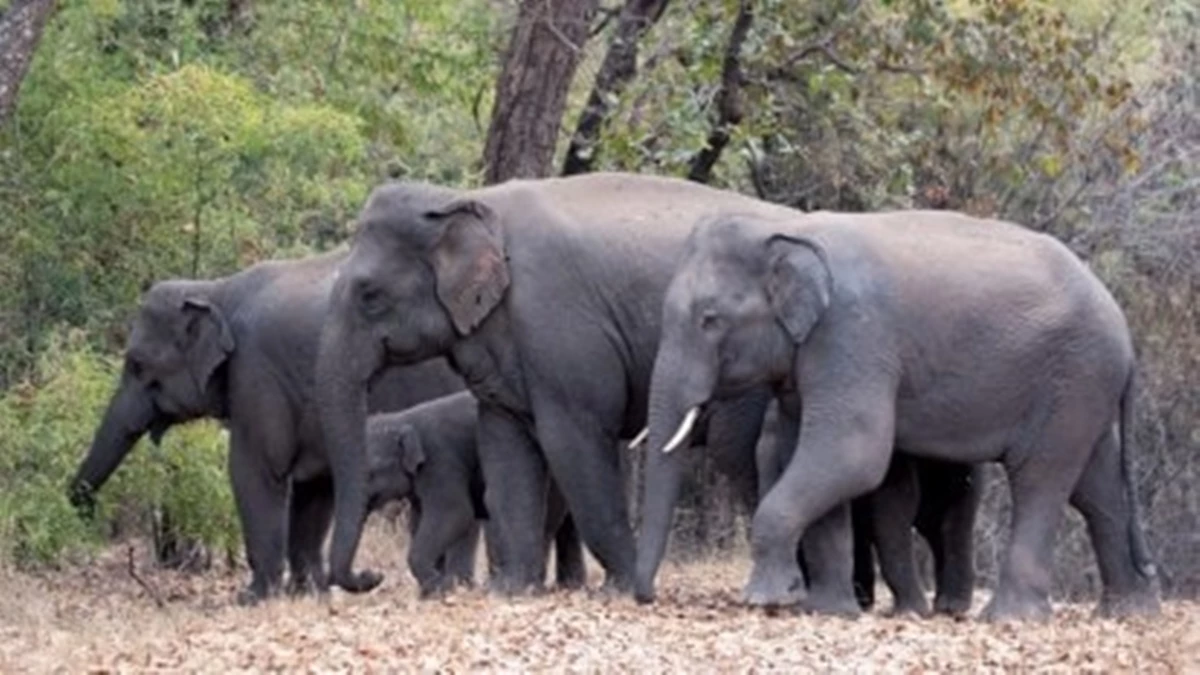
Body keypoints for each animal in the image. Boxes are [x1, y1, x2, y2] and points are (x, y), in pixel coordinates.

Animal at [64, 249, 472, 600]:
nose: (85, 510)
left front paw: (253, 597)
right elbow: (314, 486)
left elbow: (255, 470)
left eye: (136, 364)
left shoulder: (255, 372)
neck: (215, 289)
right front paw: (305, 593)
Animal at [367, 389, 588, 593]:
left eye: (371, 472)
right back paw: (568, 586)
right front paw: (440, 589)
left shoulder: (441, 462)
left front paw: (444, 587)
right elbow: (422, 519)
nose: (377, 576)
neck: (404, 419)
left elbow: (454, 512)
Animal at [643, 210, 1156, 619]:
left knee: (1041, 477)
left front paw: (768, 601)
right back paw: (1127, 611)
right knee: (1096, 487)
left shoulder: (852, 337)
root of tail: (1125, 330)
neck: (787, 230)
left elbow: (851, 454)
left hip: (1073, 376)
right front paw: (826, 611)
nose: (644, 597)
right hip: (1084, 386)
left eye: (709, 320)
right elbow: (809, 457)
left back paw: (1010, 618)